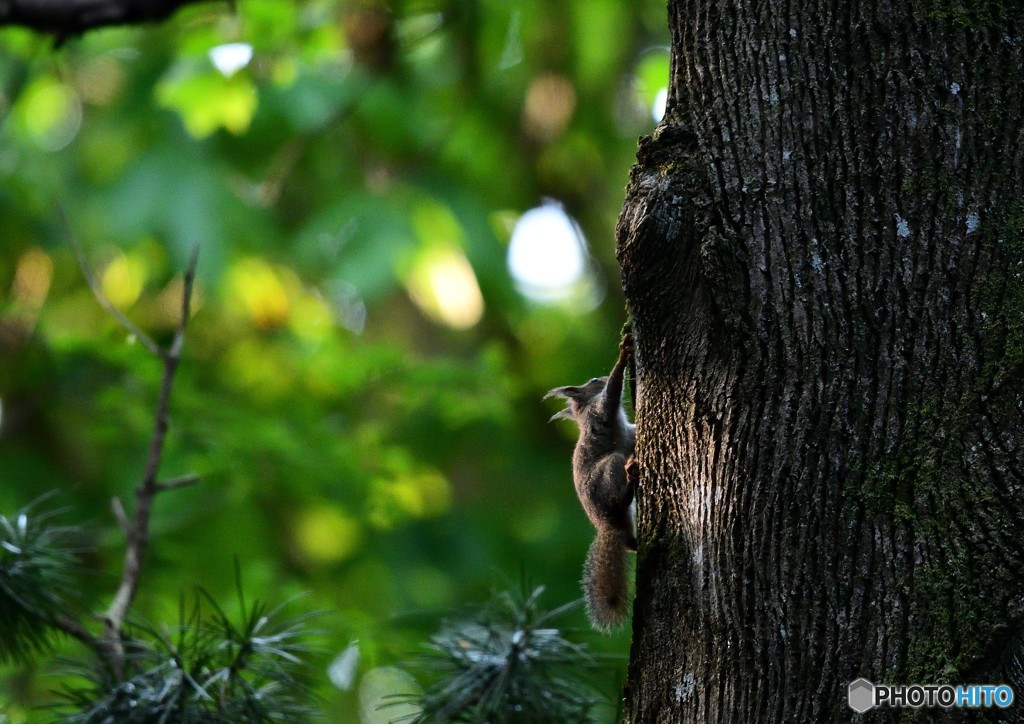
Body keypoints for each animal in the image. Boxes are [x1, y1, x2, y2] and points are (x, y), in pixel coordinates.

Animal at [548, 331, 634, 626]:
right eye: (595, 380)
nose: (602, 376)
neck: (583, 411)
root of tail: (607, 525)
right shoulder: (602, 411)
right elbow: (612, 395)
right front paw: (623, 356)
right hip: (609, 472)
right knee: (620, 492)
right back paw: (631, 478)